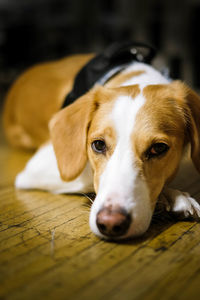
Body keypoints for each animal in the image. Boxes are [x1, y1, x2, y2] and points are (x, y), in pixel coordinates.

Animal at [2, 44, 200, 240]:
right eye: (98, 145)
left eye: (158, 148)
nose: (110, 224)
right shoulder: (39, 166)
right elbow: (92, 176)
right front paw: (173, 196)